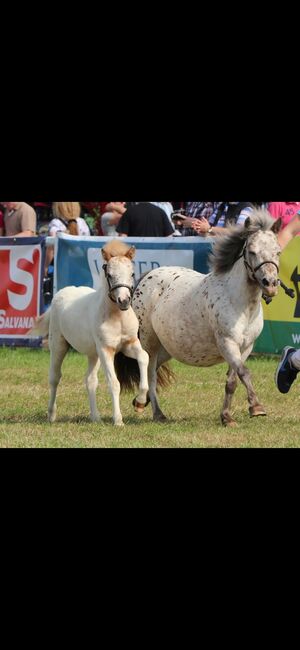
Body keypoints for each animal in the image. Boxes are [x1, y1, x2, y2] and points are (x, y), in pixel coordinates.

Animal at [29, 239, 149, 426]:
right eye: (109, 275)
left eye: (132, 273)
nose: (124, 301)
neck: (117, 317)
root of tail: (60, 293)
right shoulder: (106, 349)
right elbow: (114, 383)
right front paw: (118, 420)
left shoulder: (129, 344)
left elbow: (144, 357)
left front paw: (140, 402)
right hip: (59, 345)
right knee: (55, 377)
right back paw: (51, 415)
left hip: (94, 354)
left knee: (90, 380)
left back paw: (95, 417)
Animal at [115, 210, 282, 426]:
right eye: (252, 251)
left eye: (278, 252)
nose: (270, 284)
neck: (240, 304)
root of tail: (147, 276)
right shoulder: (228, 343)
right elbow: (244, 372)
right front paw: (257, 407)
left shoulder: (246, 347)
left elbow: (232, 380)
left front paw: (227, 417)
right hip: (148, 341)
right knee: (149, 372)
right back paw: (155, 411)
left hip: (167, 347)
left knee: (152, 368)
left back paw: (140, 402)